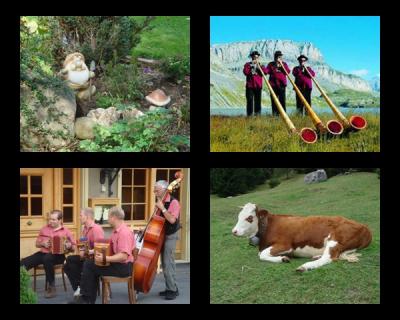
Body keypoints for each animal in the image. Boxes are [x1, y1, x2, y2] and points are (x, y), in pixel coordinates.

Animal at [231, 204, 372, 272]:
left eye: (249, 218)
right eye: (238, 216)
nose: (234, 231)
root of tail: (364, 227)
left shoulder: (285, 245)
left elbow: (262, 255)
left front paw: (283, 258)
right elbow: (261, 254)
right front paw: (283, 258)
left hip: (335, 238)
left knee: (329, 257)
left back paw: (305, 267)